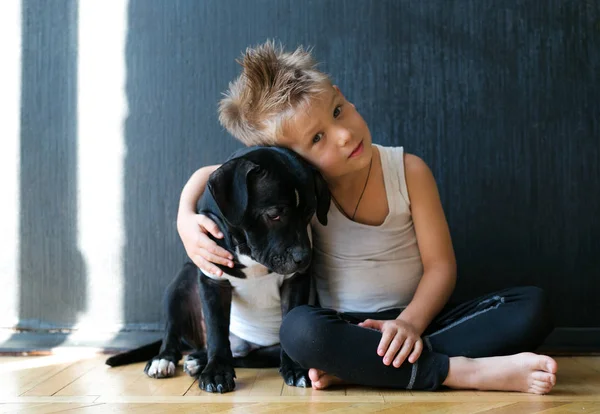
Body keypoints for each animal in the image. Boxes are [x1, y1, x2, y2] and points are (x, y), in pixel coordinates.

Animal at [103, 147, 328, 392]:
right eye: (274, 215)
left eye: (310, 213)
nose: (303, 258)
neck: (246, 247)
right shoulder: (213, 281)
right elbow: (217, 332)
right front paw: (216, 373)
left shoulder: (294, 281)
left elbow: (289, 322)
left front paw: (295, 369)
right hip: (183, 280)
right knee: (175, 333)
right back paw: (165, 359)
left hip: (263, 350)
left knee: (245, 356)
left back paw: (198, 361)